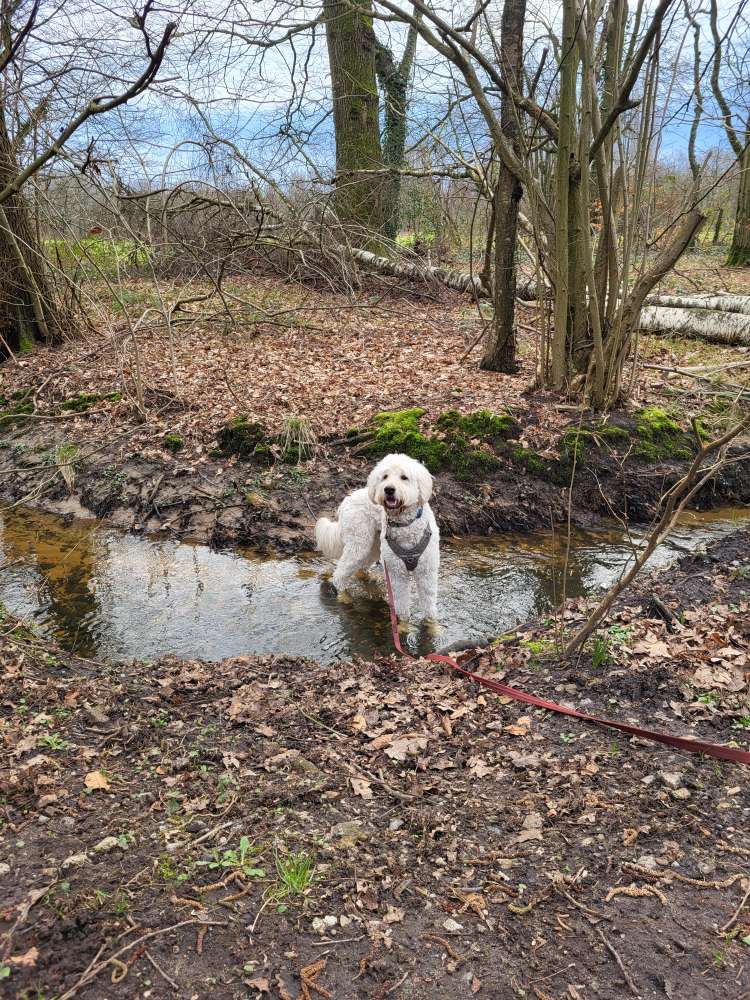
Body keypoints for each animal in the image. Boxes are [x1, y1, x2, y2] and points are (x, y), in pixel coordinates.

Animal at [316, 456, 440, 624]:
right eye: (385, 476)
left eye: (404, 477)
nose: (388, 489)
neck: (405, 524)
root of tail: (347, 500)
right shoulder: (397, 574)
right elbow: (401, 604)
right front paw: (403, 624)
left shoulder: (427, 572)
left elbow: (429, 604)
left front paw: (431, 625)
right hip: (359, 544)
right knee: (340, 575)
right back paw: (343, 597)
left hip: (373, 545)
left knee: (361, 567)